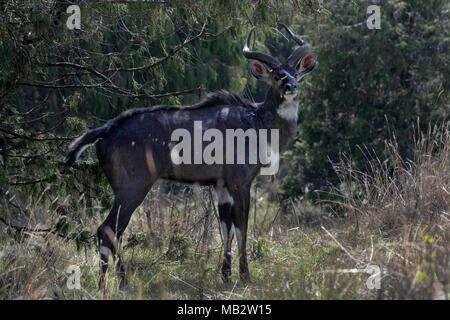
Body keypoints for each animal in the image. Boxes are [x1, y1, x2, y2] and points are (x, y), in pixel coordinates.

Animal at [64, 24, 316, 290]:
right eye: (277, 75)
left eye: (295, 73)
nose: (291, 87)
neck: (258, 123)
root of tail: (104, 133)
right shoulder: (241, 183)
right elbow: (242, 229)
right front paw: (245, 277)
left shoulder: (221, 187)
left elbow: (225, 229)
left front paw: (225, 276)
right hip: (133, 187)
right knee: (107, 229)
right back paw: (112, 285)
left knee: (115, 231)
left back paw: (118, 283)